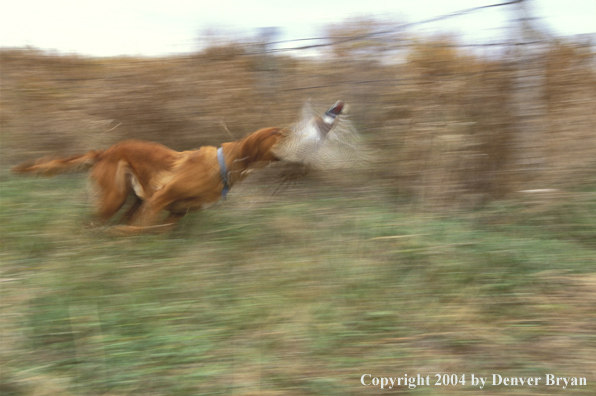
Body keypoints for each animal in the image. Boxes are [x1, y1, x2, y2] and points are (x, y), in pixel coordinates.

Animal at [12, 100, 358, 234]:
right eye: (284, 133)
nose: (325, 119)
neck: (223, 167)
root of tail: (104, 150)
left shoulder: (175, 213)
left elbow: (153, 229)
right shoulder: (159, 199)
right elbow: (140, 228)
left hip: (130, 197)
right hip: (114, 195)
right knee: (92, 223)